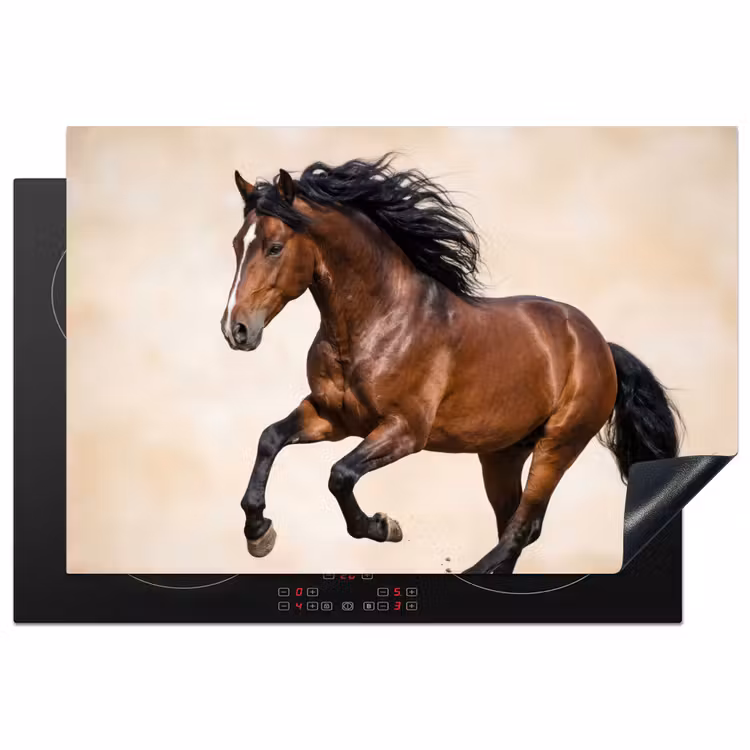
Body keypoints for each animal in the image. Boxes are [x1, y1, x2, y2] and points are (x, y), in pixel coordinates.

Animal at [220, 155, 682, 574]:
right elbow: (270, 438)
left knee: (523, 526)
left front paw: (384, 526)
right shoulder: (333, 417)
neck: (378, 322)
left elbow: (340, 474)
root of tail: (599, 344)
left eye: (275, 247)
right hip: (502, 454)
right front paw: (259, 533)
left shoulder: (405, 430)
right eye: (237, 244)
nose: (235, 329)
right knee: (514, 523)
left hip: (559, 443)